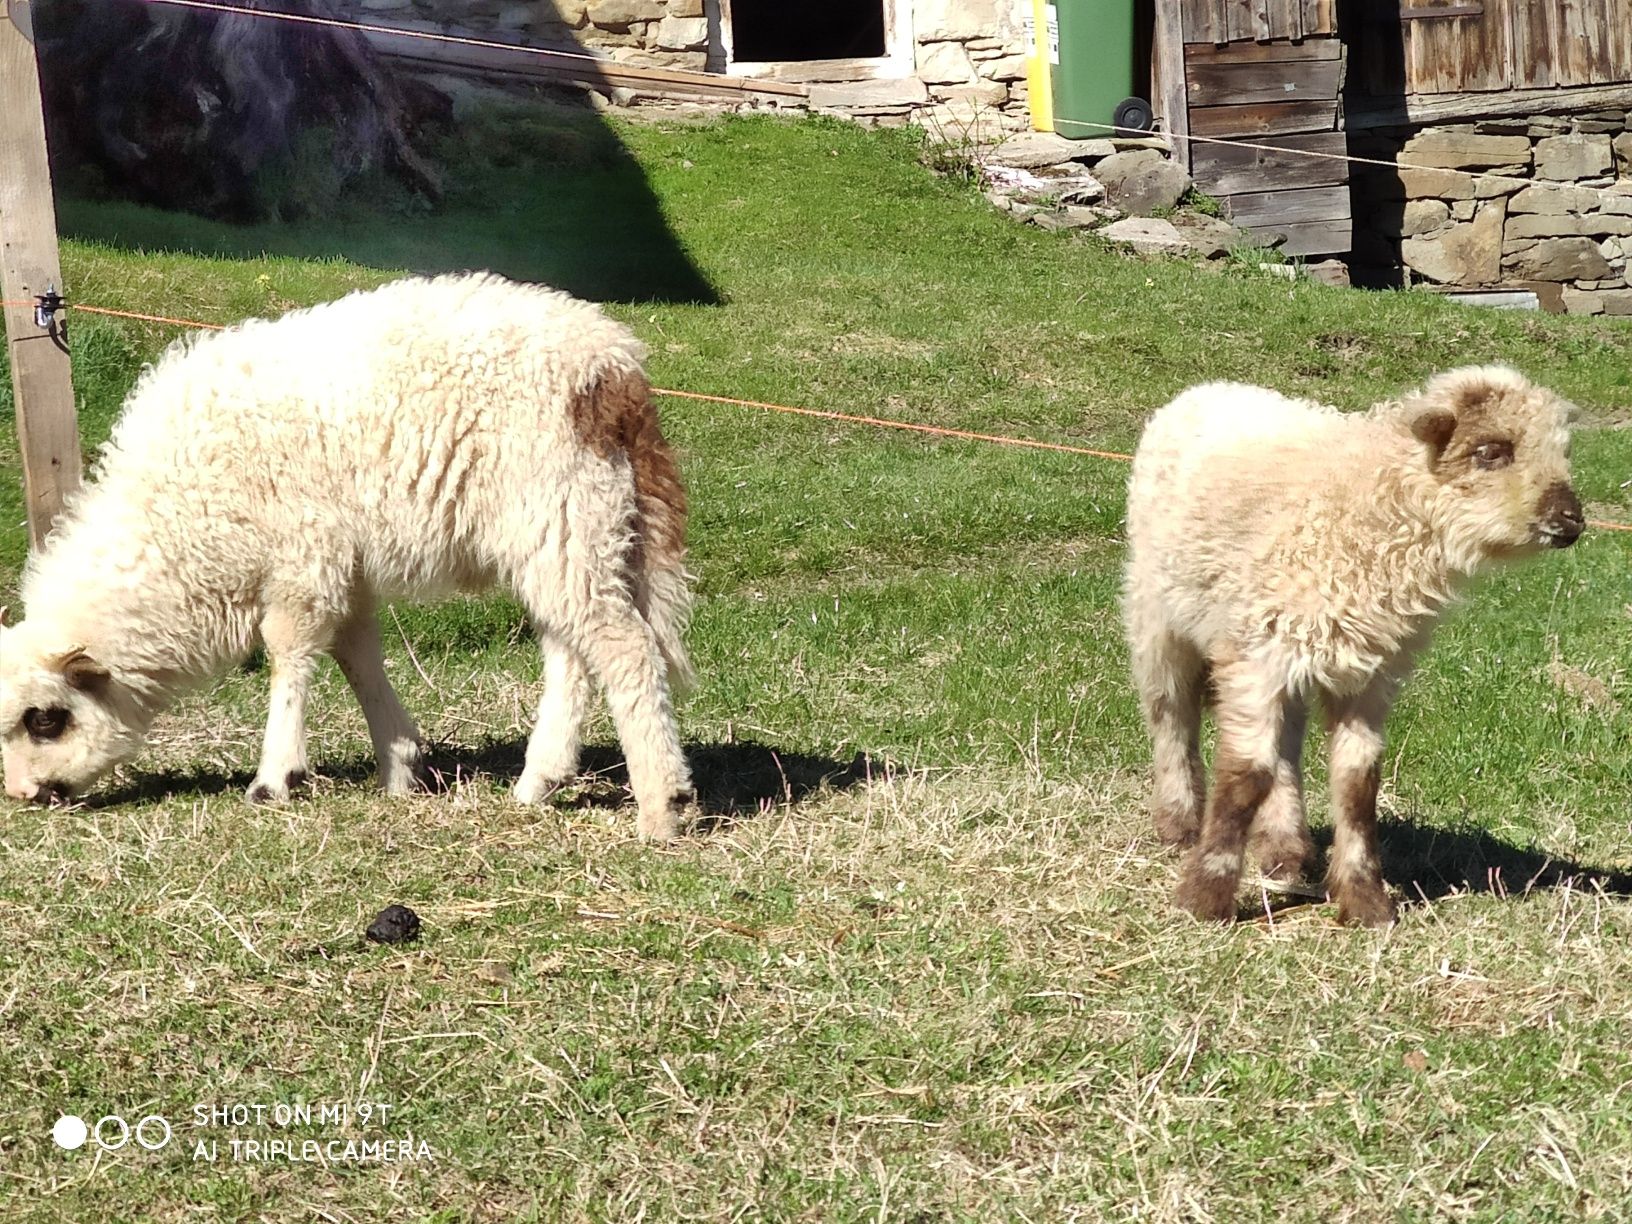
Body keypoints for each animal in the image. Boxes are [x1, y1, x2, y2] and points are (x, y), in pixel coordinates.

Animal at [0, 272, 695, 842]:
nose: (26, 795)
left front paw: (277, 776)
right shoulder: (344, 567)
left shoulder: (303, 557)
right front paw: (401, 763)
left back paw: (662, 805)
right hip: (574, 527)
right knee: (572, 649)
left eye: (45, 721)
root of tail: (613, 363)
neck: (180, 526)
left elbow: (289, 652)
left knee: (623, 648)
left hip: (562, 512)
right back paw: (540, 782)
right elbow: (357, 657)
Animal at [1122, 367, 1579, 926]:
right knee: (1170, 713)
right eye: (1491, 450)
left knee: (1286, 745)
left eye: (1562, 450)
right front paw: (1204, 896)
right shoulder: (1257, 653)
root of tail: (1210, 387)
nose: (1571, 519)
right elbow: (1245, 774)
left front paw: (1365, 901)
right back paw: (1179, 824)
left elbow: (1358, 783)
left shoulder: (1369, 672)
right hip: (1156, 614)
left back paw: (1285, 849)